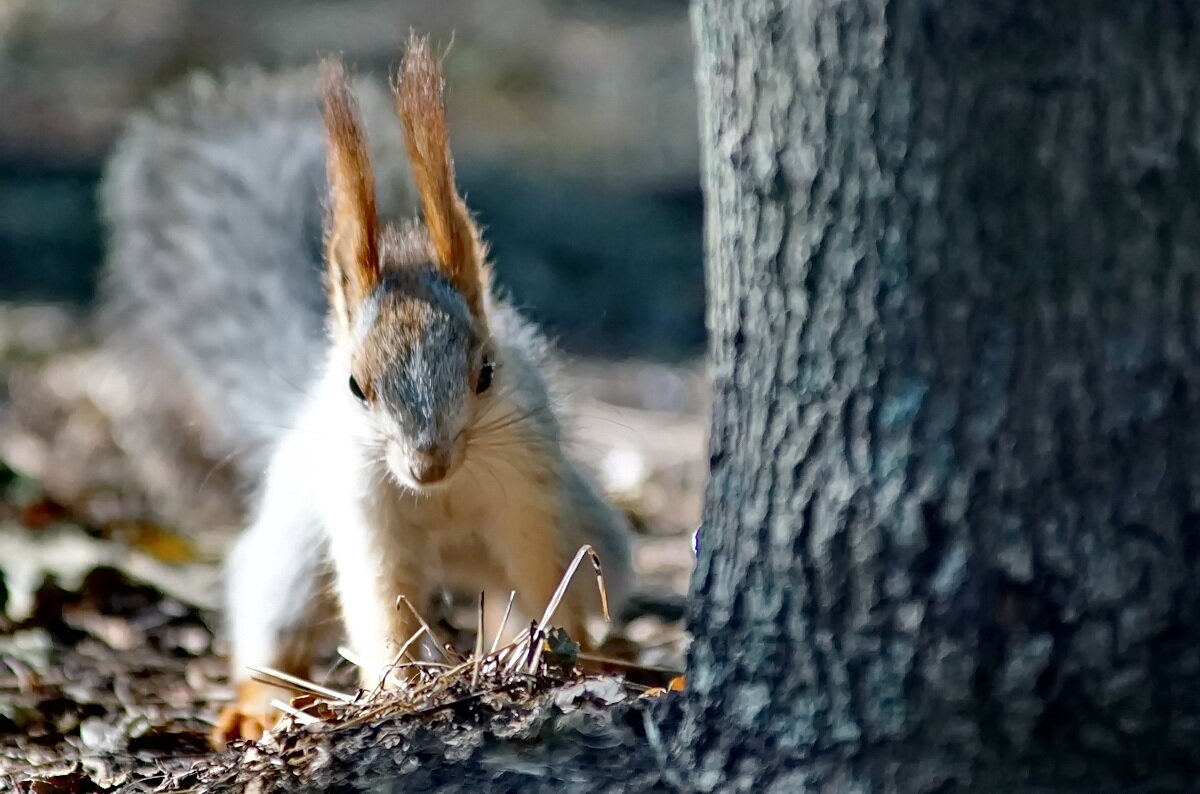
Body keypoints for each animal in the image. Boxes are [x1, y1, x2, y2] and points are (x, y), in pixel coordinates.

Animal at [98, 37, 638, 748]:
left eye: (486, 372)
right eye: (355, 385)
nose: (427, 466)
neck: (442, 496)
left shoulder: (529, 492)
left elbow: (545, 575)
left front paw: (553, 657)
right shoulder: (363, 509)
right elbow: (382, 605)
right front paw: (403, 689)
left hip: (588, 521)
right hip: (295, 546)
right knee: (272, 621)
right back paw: (257, 703)